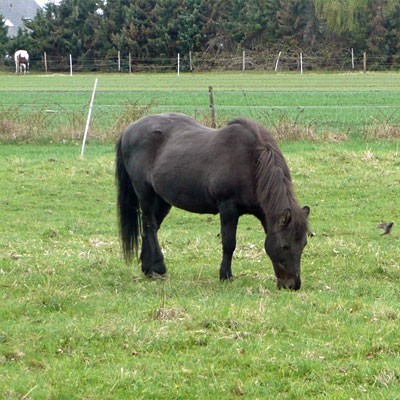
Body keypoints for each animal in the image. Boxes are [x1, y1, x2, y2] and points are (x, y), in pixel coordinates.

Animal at [115, 112, 310, 290]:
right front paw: (226, 275)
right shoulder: (228, 207)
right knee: (150, 225)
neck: (251, 161)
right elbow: (229, 243)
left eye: (303, 244)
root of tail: (128, 130)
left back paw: (148, 268)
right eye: (285, 245)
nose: (292, 285)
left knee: (150, 229)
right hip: (145, 193)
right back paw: (159, 267)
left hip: (163, 199)